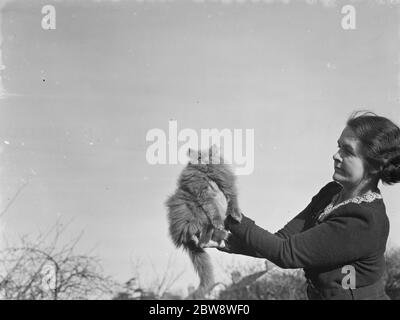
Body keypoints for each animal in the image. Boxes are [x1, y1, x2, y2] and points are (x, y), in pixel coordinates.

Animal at [165, 145, 241, 300]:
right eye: (199, 157)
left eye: (211, 155)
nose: (205, 160)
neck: (209, 175)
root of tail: (182, 239)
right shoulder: (204, 195)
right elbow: (214, 211)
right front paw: (219, 221)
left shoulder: (228, 185)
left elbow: (233, 201)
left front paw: (237, 216)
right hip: (194, 212)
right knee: (204, 229)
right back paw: (214, 232)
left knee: (209, 234)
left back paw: (220, 233)